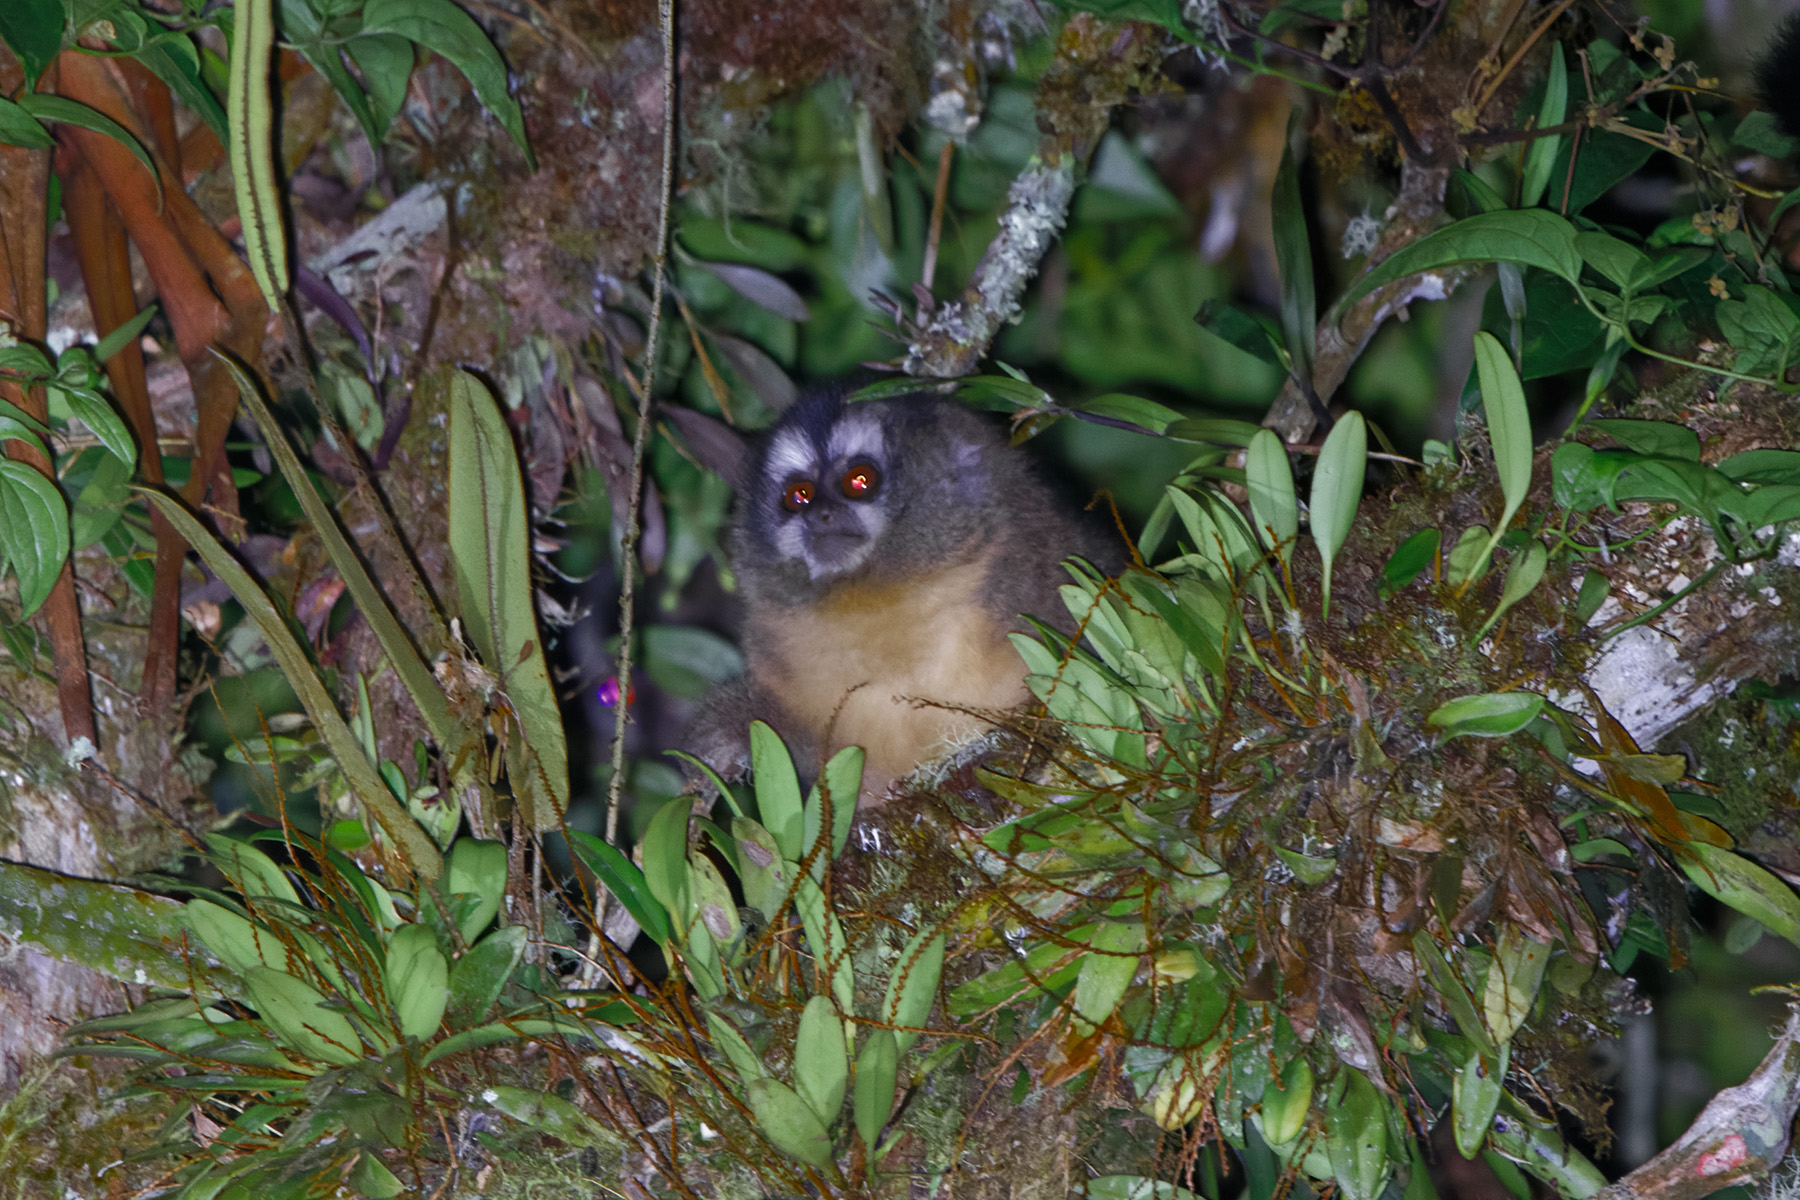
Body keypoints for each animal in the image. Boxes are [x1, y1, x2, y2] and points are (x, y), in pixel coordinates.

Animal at [682, 390, 1119, 805]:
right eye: (798, 495)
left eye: (860, 480)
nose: (819, 514)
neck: (883, 596)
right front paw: (726, 733)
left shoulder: (1046, 574)